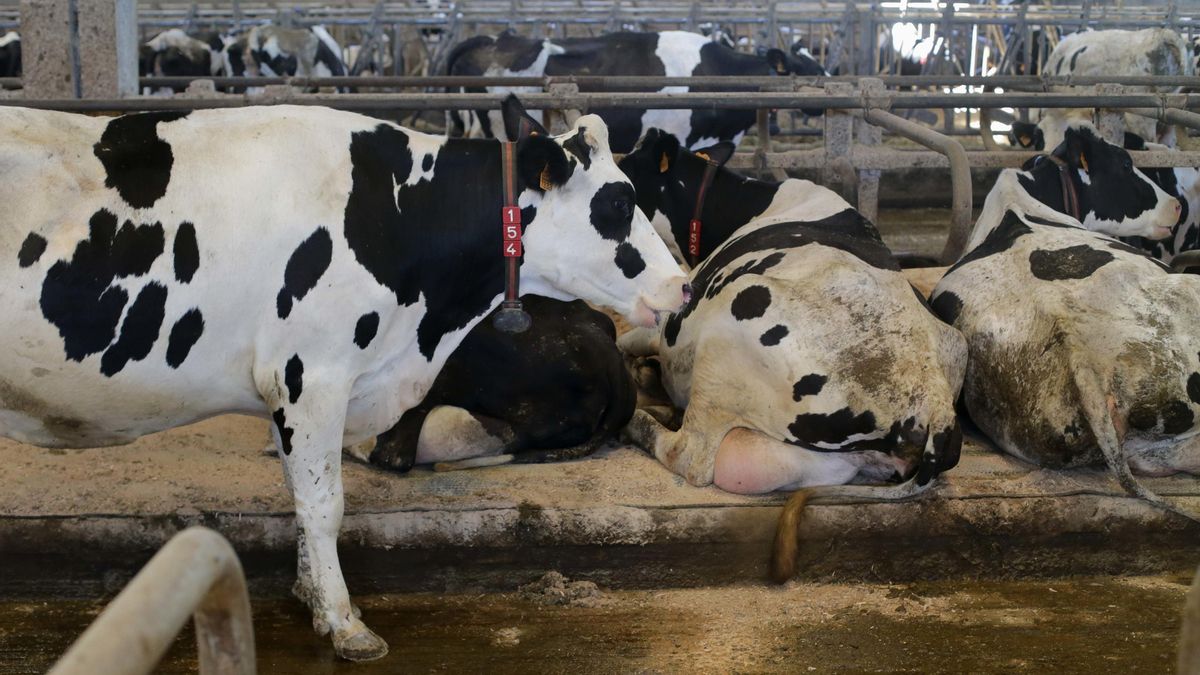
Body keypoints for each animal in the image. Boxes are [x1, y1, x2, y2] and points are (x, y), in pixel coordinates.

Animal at [616, 129, 967, 582]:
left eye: (626, 171)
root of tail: (934, 402)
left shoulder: (672, 318)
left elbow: (628, 338)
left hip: (731, 324)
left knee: (689, 456)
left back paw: (637, 420)